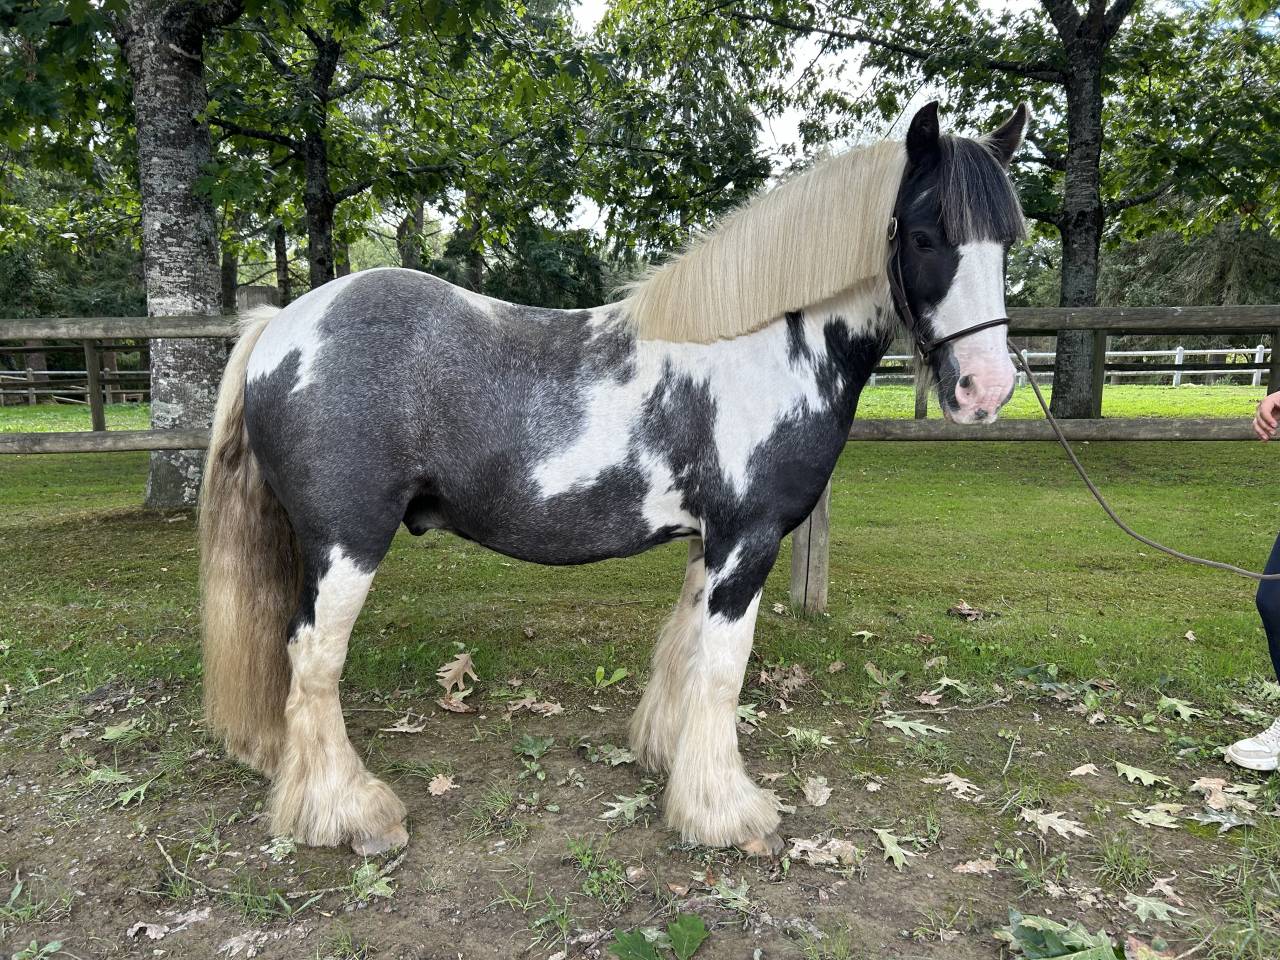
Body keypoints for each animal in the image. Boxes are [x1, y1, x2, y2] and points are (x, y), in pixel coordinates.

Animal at [199, 100, 1029, 857]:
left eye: (1009, 242)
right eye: (924, 235)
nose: (985, 389)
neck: (762, 350)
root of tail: (280, 325)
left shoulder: (709, 542)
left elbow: (686, 652)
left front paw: (671, 765)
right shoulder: (748, 541)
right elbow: (723, 672)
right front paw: (727, 814)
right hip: (348, 542)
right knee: (313, 657)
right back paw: (349, 813)